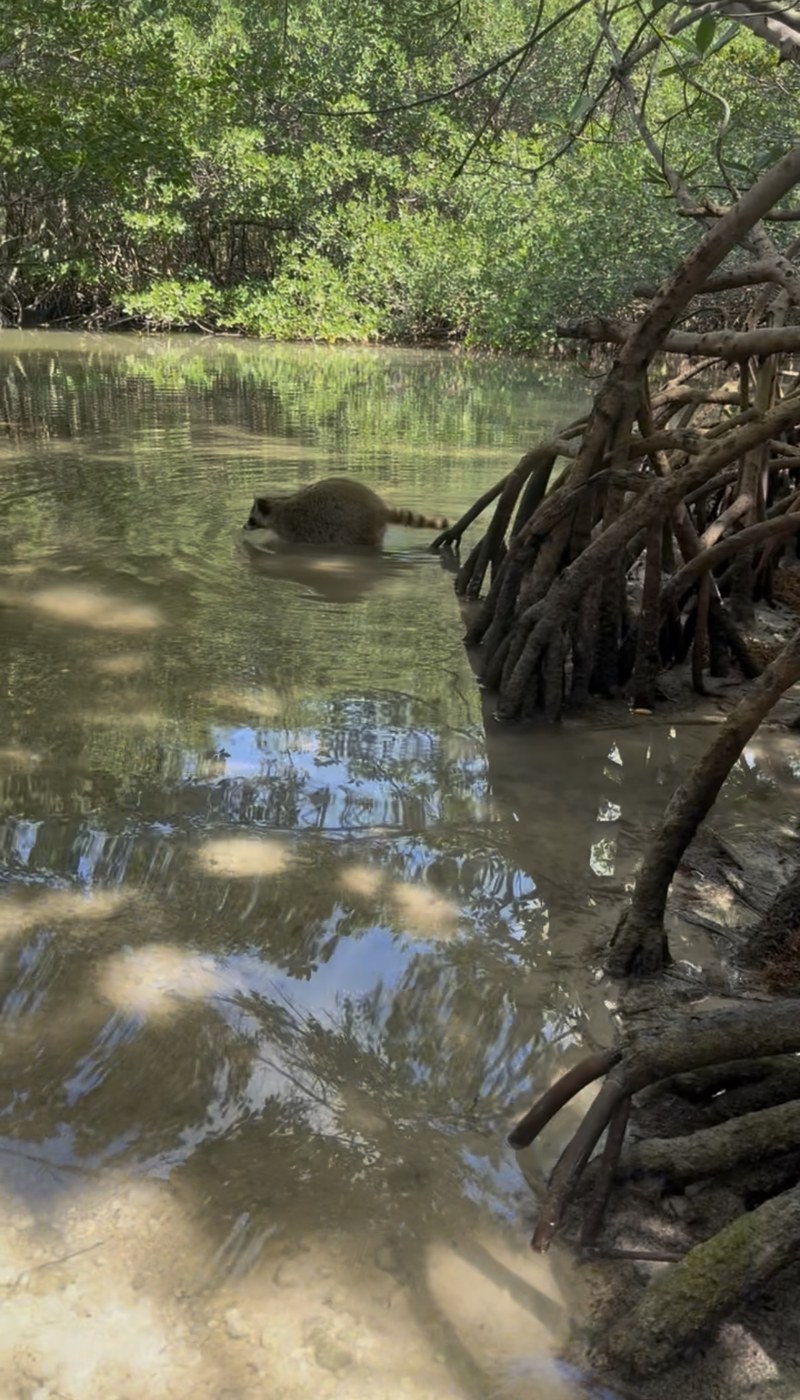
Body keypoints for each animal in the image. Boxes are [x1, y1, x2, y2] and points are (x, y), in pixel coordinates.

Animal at [244, 476, 448, 549]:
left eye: (251, 518)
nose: (243, 526)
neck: (277, 507)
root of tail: (379, 507)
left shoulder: (292, 528)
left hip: (357, 527)